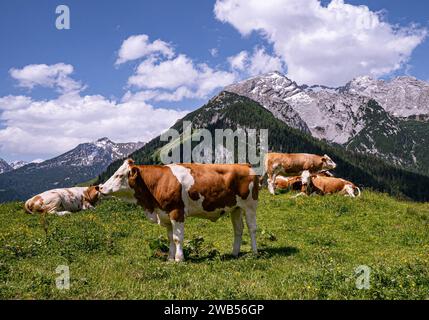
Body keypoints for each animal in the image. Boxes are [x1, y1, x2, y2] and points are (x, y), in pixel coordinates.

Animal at [99, 160, 258, 262]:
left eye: (119, 175)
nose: (100, 187)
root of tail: (245, 165)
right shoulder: (165, 214)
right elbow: (170, 238)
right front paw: (170, 258)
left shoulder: (177, 212)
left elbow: (177, 238)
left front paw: (179, 258)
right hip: (236, 208)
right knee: (238, 229)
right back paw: (234, 253)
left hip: (250, 205)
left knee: (252, 228)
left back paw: (255, 252)